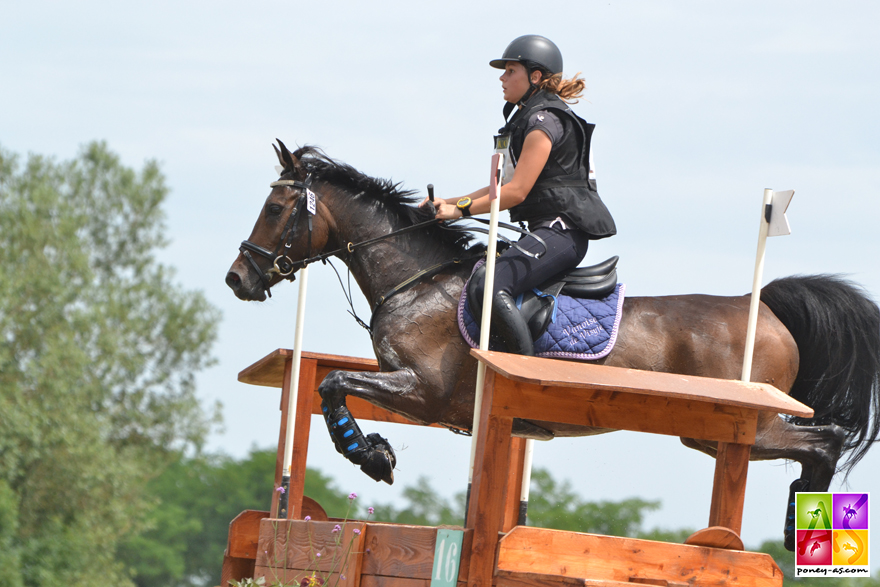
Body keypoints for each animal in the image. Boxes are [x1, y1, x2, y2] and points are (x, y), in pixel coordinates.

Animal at [225, 142, 880, 544]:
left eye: (275, 207)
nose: (238, 279)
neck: (416, 282)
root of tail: (762, 305)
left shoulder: (423, 391)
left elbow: (335, 384)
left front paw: (372, 456)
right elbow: (334, 383)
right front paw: (375, 449)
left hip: (741, 425)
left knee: (824, 441)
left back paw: (806, 525)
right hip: (715, 434)